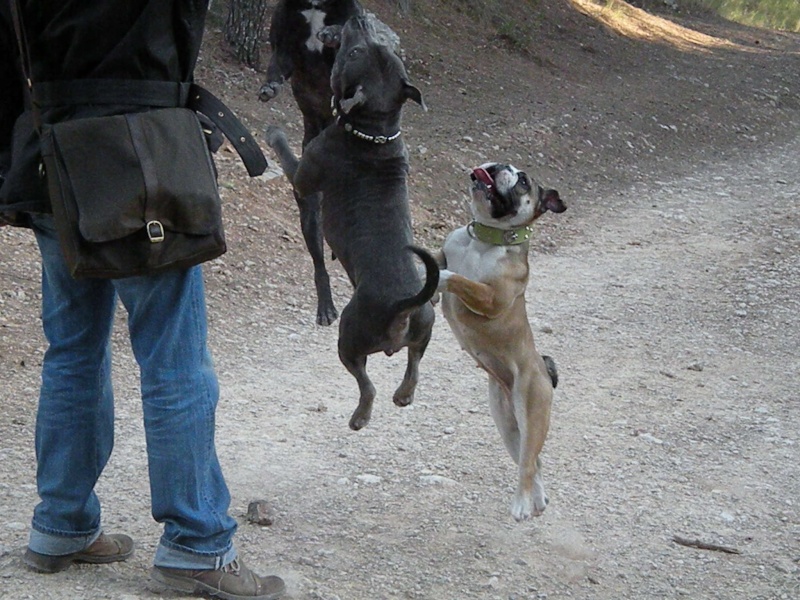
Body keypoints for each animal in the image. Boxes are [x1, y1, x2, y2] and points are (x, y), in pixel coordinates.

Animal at [266, 15, 434, 432]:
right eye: (379, 48)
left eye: (355, 52)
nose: (360, 17)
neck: (375, 131)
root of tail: (404, 307)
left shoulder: (304, 176)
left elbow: (287, 154)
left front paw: (274, 132)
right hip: (426, 328)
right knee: (414, 364)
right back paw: (403, 394)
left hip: (350, 333)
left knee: (366, 383)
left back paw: (360, 415)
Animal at [434, 163, 564, 520]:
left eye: (523, 181)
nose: (501, 168)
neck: (482, 240)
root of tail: (543, 370)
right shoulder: (446, 250)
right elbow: (437, 259)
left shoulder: (489, 297)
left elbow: (457, 278)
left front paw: (438, 280)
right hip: (508, 426)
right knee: (532, 462)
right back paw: (538, 500)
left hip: (531, 413)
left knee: (527, 465)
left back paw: (522, 504)